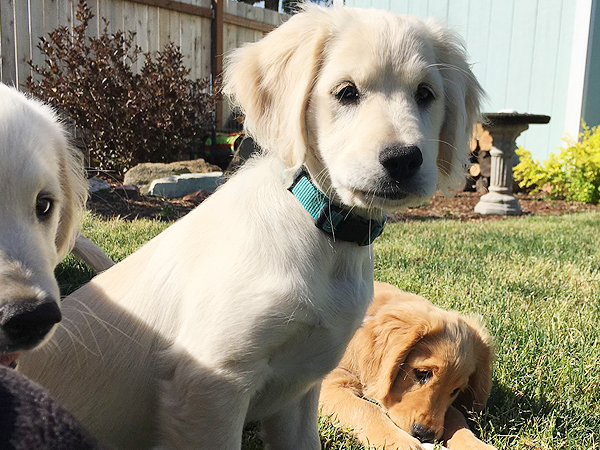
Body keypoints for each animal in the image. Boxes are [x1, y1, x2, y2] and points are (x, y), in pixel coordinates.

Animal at [322, 282, 494, 450]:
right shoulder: (329, 383)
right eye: (422, 373)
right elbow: (366, 407)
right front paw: (398, 441)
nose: (424, 434)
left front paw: (475, 444)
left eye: (456, 391)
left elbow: (456, 416)